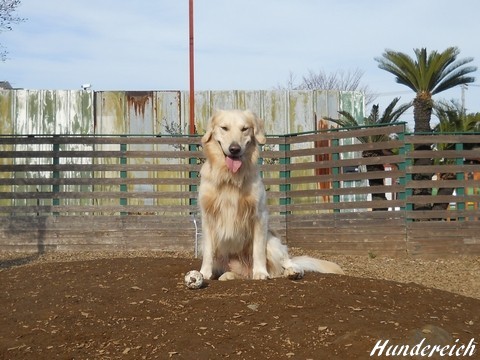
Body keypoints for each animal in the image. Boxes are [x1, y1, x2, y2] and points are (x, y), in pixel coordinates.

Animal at [197, 109, 344, 282]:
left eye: (244, 129)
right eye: (224, 128)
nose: (234, 149)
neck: (230, 178)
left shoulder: (259, 215)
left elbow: (258, 250)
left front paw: (260, 272)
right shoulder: (207, 217)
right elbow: (208, 251)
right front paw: (204, 273)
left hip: (272, 242)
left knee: (287, 264)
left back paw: (292, 272)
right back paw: (227, 275)